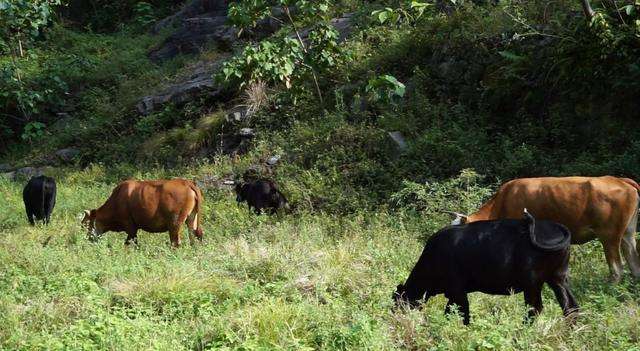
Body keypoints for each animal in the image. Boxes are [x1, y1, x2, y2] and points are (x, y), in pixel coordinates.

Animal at [392, 210, 576, 326]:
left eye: (397, 302)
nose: (395, 319)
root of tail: (555, 227)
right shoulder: (453, 293)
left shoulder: (457, 290)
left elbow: (463, 314)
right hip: (558, 278)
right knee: (570, 306)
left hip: (532, 283)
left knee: (534, 309)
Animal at [444, 176, 640, 284]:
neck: (504, 199)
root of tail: (619, 179)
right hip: (628, 234)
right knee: (634, 263)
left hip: (609, 236)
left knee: (617, 268)